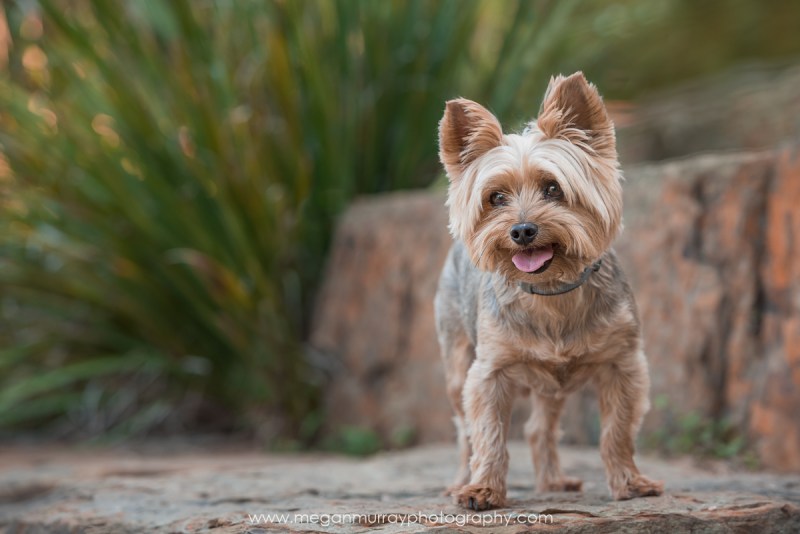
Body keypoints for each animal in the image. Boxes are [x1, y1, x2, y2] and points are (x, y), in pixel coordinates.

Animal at [434, 71, 664, 510]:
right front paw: (483, 489)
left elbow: (617, 431)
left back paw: (553, 481)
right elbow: (487, 434)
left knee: (539, 428)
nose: (522, 230)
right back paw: (459, 482)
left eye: (553, 188)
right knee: (463, 431)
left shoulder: (623, 365)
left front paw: (630, 483)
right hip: (455, 362)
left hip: (551, 386)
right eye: (496, 198)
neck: (552, 290)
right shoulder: (488, 372)